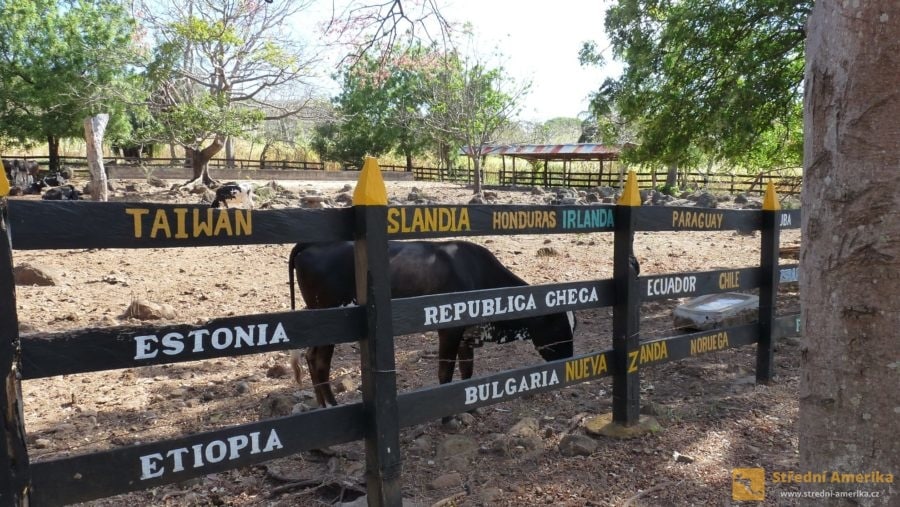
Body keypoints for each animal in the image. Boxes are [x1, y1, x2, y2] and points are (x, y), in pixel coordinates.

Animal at [290, 240, 576, 410]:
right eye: (559, 327)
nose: (571, 363)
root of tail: (316, 242)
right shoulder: (449, 330)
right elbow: (445, 374)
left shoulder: (467, 334)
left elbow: (467, 371)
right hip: (330, 322)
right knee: (320, 362)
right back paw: (331, 404)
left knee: (311, 357)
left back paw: (323, 404)